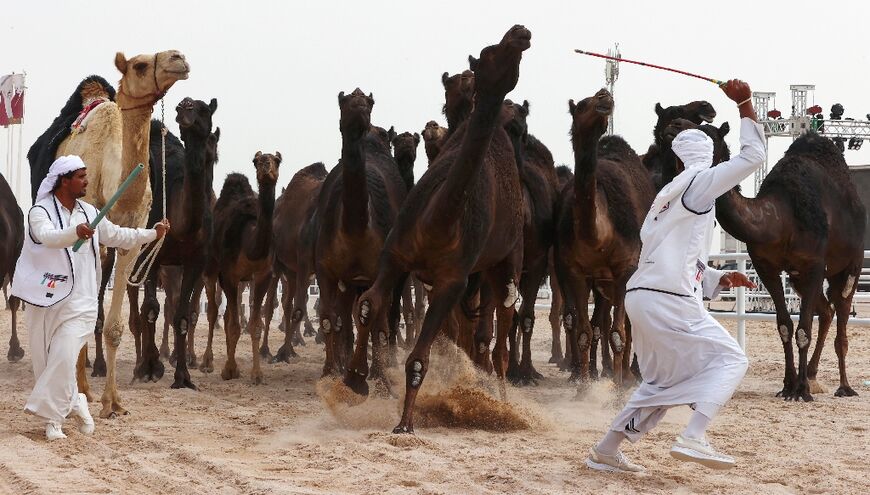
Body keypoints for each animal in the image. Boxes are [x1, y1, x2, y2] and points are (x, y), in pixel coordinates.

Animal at [129, 97, 218, 390]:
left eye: (204, 109)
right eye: (183, 106)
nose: (184, 107)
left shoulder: (195, 262)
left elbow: (182, 315)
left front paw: (183, 376)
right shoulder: (151, 254)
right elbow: (150, 310)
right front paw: (150, 367)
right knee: (137, 310)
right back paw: (138, 366)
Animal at [203, 152, 282, 384]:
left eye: (277, 160)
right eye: (257, 161)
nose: (266, 166)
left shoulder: (262, 275)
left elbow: (254, 325)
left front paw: (256, 374)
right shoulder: (228, 275)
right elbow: (233, 325)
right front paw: (229, 369)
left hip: (241, 281)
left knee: (229, 312)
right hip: (212, 269)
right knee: (213, 310)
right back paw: (207, 362)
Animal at [265, 161, 328, 364]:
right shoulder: (305, 263)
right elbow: (300, 307)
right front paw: (282, 353)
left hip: (292, 272)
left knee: (287, 304)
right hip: (277, 267)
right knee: (271, 305)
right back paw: (265, 350)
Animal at [346, 25, 531, 434]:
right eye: (488, 52)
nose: (521, 33)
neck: (437, 222)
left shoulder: (452, 280)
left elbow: (419, 359)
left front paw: (404, 424)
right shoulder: (395, 256)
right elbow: (367, 305)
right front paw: (352, 381)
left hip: (507, 260)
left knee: (501, 333)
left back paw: (504, 405)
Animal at [554, 88, 655, 388]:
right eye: (581, 105)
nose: (603, 95)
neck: (598, 236)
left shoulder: (625, 270)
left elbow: (618, 334)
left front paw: (618, 390)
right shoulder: (577, 273)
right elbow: (584, 332)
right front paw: (584, 389)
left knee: (627, 327)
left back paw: (628, 377)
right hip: (599, 283)